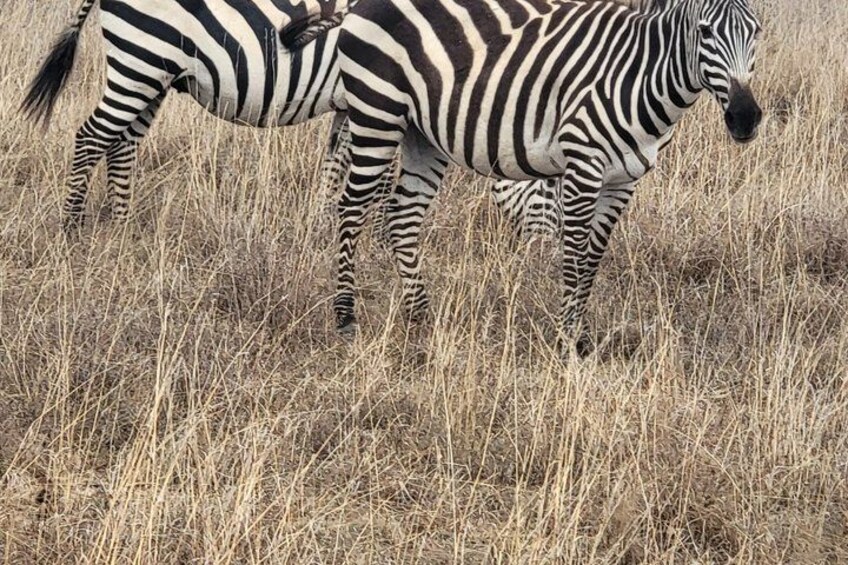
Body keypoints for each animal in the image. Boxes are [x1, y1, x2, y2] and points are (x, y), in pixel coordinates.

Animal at [21, 0, 363, 233]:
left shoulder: (350, 105)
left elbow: (334, 167)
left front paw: (319, 223)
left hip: (152, 75)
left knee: (122, 143)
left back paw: (122, 226)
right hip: (140, 63)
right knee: (92, 136)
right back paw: (72, 227)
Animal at [317, 0, 762, 352]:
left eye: (756, 31)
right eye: (705, 31)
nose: (745, 118)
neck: (639, 74)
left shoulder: (625, 179)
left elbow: (594, 256)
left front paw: (580, 335)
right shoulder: (584, 163)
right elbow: (576, 255)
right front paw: (568, 340)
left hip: (420, 134)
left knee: (403, 217)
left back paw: (418, 314)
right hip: (377, 113)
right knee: (351, 208)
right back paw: (345, 315)